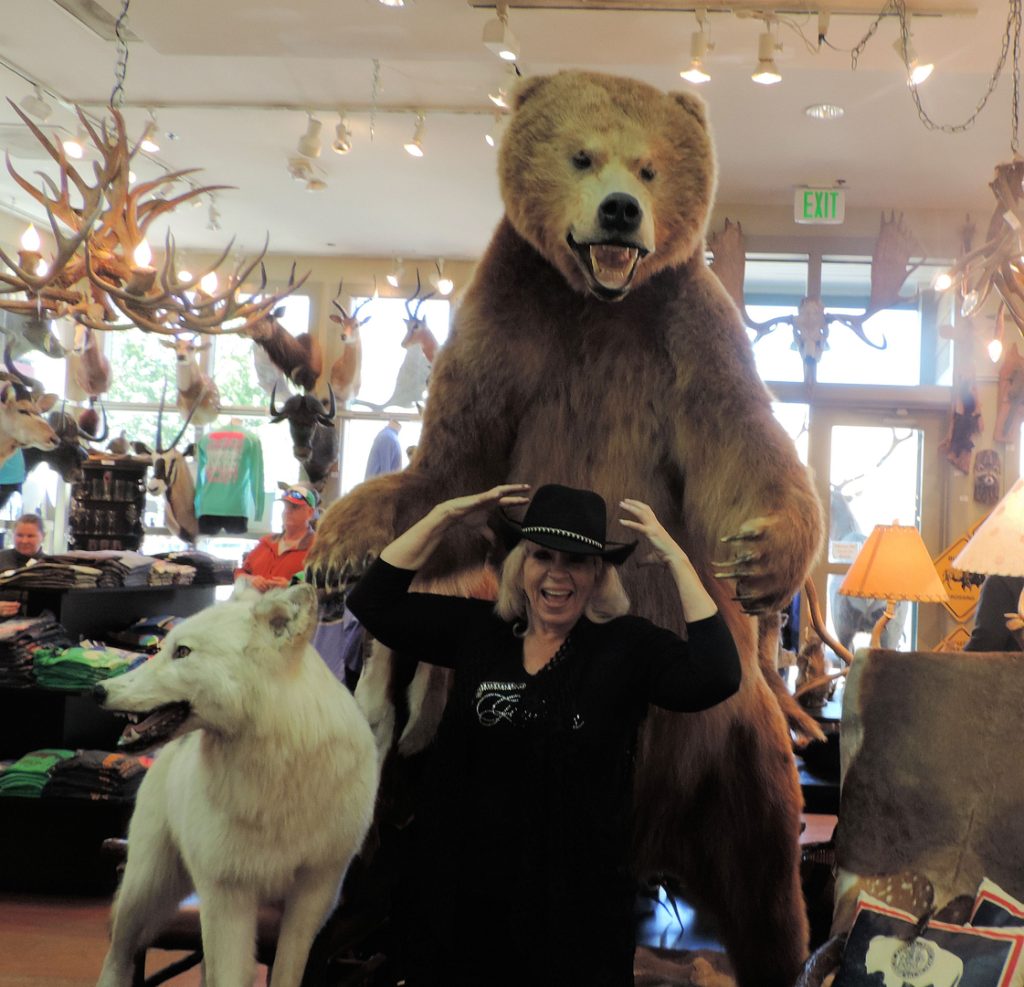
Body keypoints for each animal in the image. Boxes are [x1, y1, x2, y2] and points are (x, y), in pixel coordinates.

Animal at [307, 69, 819, 987]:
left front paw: (763, 554)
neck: (597, 304)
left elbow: (743, 440)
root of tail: (656, 838)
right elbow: (453, 465)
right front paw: (339, 548)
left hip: (736, 753)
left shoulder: (687, 333)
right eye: (582, 155)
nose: (619, 210)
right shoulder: (508, 332)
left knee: (768, 889)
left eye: (650, 166)